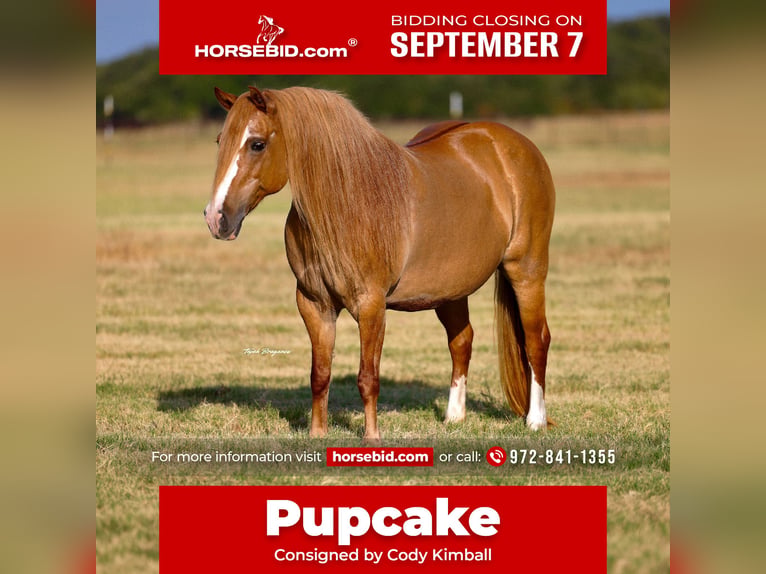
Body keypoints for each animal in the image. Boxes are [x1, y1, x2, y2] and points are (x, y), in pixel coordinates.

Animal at [204, 86, 555, 441]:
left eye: (257, 143)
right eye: (220, 140)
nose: (216, 218)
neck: (346, 202)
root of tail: (514, 145)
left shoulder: (371, 305)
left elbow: (368, 377)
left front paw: (371, 436)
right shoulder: (314, 304)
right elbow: (320, 374)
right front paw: (318, 434)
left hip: (526, 271)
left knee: (536, 340)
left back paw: (535, 420)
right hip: (451, 290)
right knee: (462, 341)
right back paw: (454, 417)